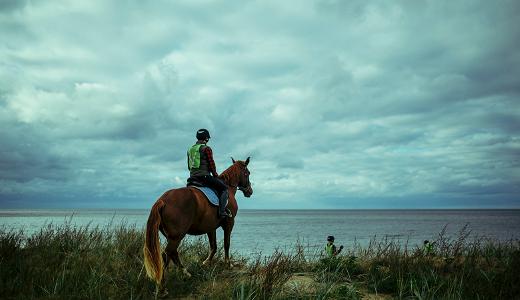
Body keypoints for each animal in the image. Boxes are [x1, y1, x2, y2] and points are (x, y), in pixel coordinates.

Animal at [143, 157, 253, 296]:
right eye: (247, 173)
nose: (250, 191)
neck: (228, 188)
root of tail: (162, 200)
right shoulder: (229, 223)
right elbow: (226, 244)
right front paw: (228, 264)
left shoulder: (211, 227)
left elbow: (213, 246)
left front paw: (206, 262)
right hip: (176, 236)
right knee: (166, 255)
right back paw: (162, 288)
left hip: (171, 236)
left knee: (173, 253)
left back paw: (185, 273)